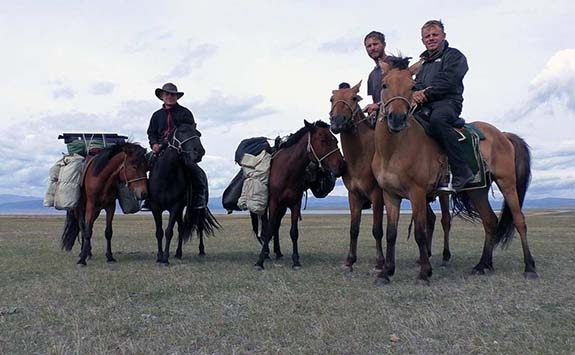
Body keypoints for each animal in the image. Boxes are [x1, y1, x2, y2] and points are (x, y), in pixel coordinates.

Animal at [148, 124, 220, 266]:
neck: (166, 177)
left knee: (199, 226)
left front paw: (165, 259)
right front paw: (159, 256)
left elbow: (169, 232)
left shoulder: (175, 206)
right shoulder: (155, 207)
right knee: (181, 228)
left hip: (198, 209)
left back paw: (200, 250)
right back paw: (178, 253)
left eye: (198, 133)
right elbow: (159, 232)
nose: (200, 151)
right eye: (182, 131)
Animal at [254, 119, 344, 270]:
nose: (342, 166)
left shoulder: (295, 203)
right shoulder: (273, 202)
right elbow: (269, 229)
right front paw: (260, 261)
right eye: (323, 140)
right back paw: (266, 253)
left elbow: (294, 232)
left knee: (277, 226)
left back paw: (278, 252)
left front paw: (296, 261)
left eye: (336, 141)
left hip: (282, 207)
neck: (288, 171)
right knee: (268, 227)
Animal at [328, 84, 454, 272]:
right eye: (332, 99)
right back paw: (425, 257)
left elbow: (377, 230)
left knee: (445, 220)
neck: (361, 156)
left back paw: (445, 257)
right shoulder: (354, 196)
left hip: (442, 194)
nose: (336, 122)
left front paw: (380, 262)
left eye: (354, 98)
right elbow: (354, 229)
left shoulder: (377, 195)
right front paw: (350, 261)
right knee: (430, 219)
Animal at [372, 57, 536, 286]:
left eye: (412, 87)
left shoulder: (417, 193)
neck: (394, 150)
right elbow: (391, 234)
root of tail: (502, 134)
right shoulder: (390, 195)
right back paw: (482, 265)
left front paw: (424, 274)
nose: (397, 118)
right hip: (477, 191)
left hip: (507, 184)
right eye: (385, 85)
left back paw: (529, 267)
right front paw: (386, 272)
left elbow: (420, 233)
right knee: (490, 221)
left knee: (519, 220)